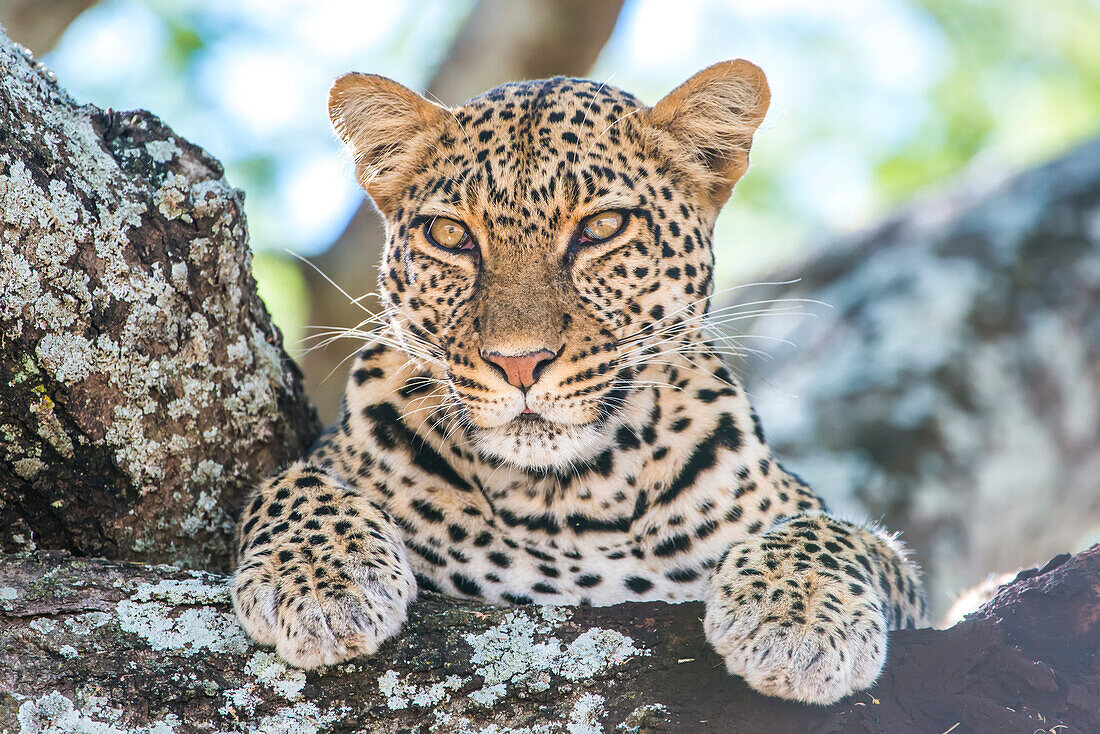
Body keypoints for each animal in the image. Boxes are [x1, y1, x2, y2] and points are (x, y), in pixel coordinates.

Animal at [232, 58, 928, 704]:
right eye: (450, 234)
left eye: (602, 228)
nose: (519, 362)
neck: (570, 500)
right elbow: (294, 480)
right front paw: (321, 583)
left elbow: (846, 533)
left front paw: (799, 616)